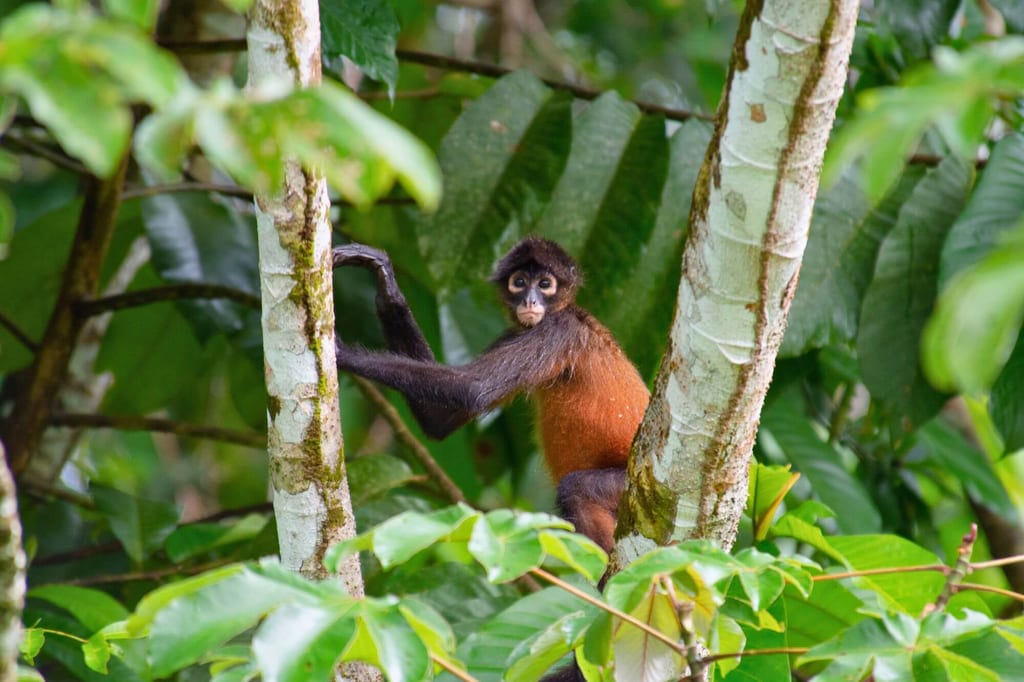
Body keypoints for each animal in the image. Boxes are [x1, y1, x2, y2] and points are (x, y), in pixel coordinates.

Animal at [332, 237, 650, 554]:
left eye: (545, 284)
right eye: (519, 282)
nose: (530, 301)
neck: (563, 311)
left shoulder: (557, 330)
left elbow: (474, 388)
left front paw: (343, 353)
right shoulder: (516, 332)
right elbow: (439, 419)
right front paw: (386, 282)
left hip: (630, 485)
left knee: (576, 490)